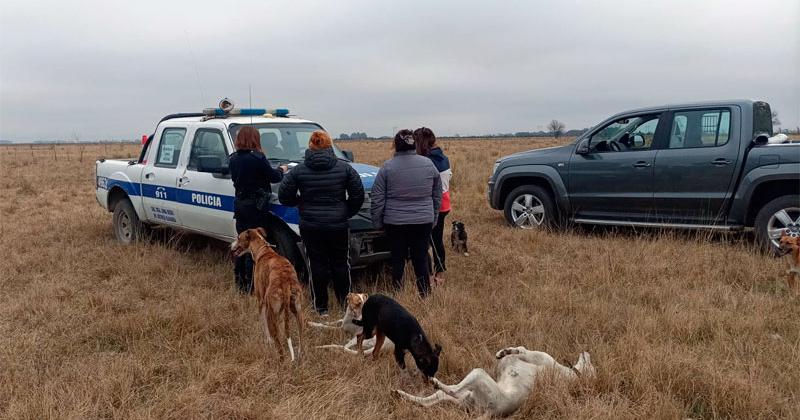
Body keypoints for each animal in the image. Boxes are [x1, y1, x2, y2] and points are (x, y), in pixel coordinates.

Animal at [234, 228, 306, 360]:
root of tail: (286, 283)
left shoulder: (261, 301)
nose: (230, 246)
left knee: (278, 345)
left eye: (238, 237)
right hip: (298, 312)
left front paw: (267, 341)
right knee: (300, 340)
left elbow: (264, 327)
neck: (264, 251)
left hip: (270, 313)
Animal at [396, 348, 592, 416]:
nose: (587, 350)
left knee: (452, 389)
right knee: (429, 401)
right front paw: (504, 352)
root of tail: (494, 412)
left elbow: (521, 350)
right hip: (464, 396)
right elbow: (513, 354)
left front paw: (507, 352)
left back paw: (435, 382)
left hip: (477, 375)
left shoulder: (539, 357)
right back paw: (401, 394)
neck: (573, 375)